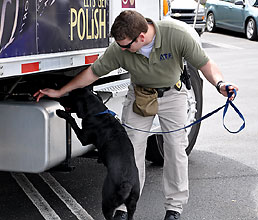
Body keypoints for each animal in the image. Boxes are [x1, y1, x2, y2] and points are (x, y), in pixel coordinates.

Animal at [56, 88, 140, 220]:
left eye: (70, 96)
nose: (60, 99)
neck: (97, 112)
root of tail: (127, 184)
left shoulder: (84, 137)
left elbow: (73, 120)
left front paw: (61, 113)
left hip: (107, 201)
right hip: (132, 204)